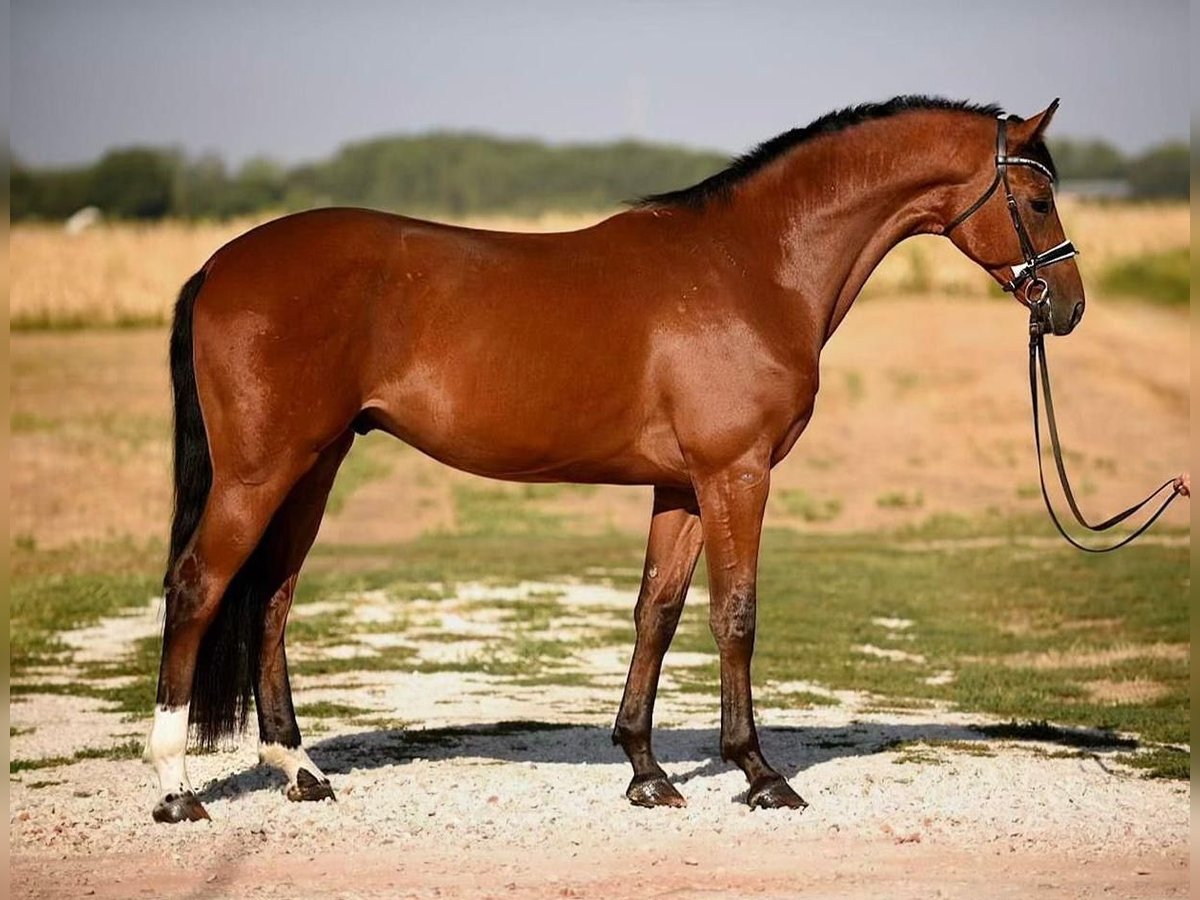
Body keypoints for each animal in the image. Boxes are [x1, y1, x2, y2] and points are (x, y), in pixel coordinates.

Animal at [145, 97, 1084, 825]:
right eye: (1038, 197)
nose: (1068, 307)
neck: (752, 266)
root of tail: (220, 265)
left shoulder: (682, 485)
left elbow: (655, 614)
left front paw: (645, 771)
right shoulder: (736, 473)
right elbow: (735, 616)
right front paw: (760, 774)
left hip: (315, 464)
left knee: (270, 599)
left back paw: (300, 773)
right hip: (261, 474)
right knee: (198, 587)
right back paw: (177, 787)